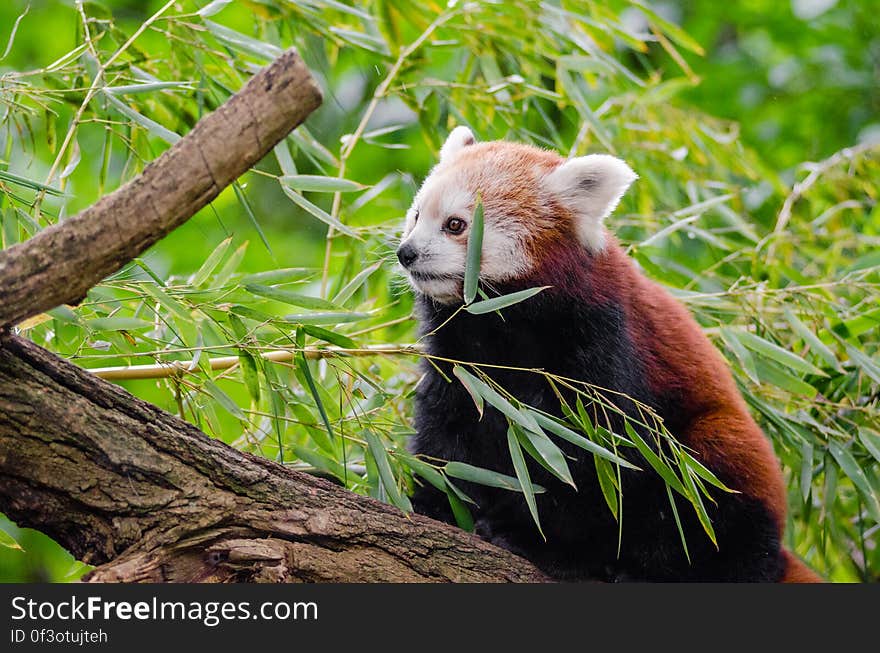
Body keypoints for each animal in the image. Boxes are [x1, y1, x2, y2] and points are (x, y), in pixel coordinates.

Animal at [400, 126, 824, 580]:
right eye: (417, 215)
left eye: (455, 225)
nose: (406, 253)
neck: (503, 321)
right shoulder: (462, 360)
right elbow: (449, 428)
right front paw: (436, 501)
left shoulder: (602, 346)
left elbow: (595, 462)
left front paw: (536, 540)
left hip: (719, 458)